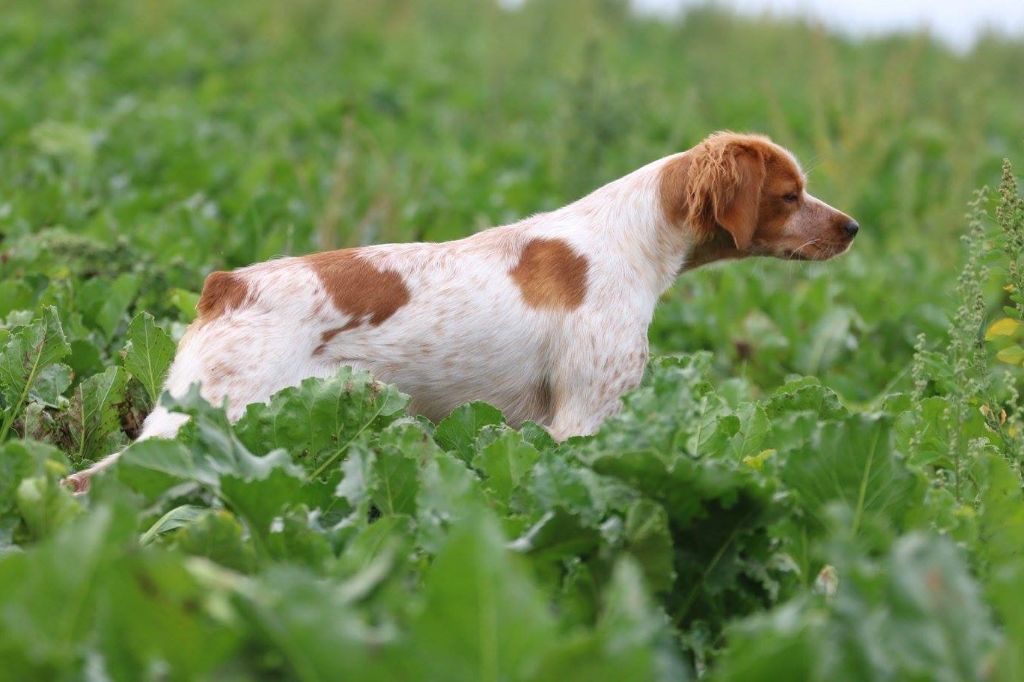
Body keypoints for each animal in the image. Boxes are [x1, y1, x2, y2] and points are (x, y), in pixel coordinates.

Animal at [66, 129, 856, 489]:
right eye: (790, 195)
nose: (852, 226)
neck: (630, 243)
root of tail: (227, 284)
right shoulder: (583, 418)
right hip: (205, 421)